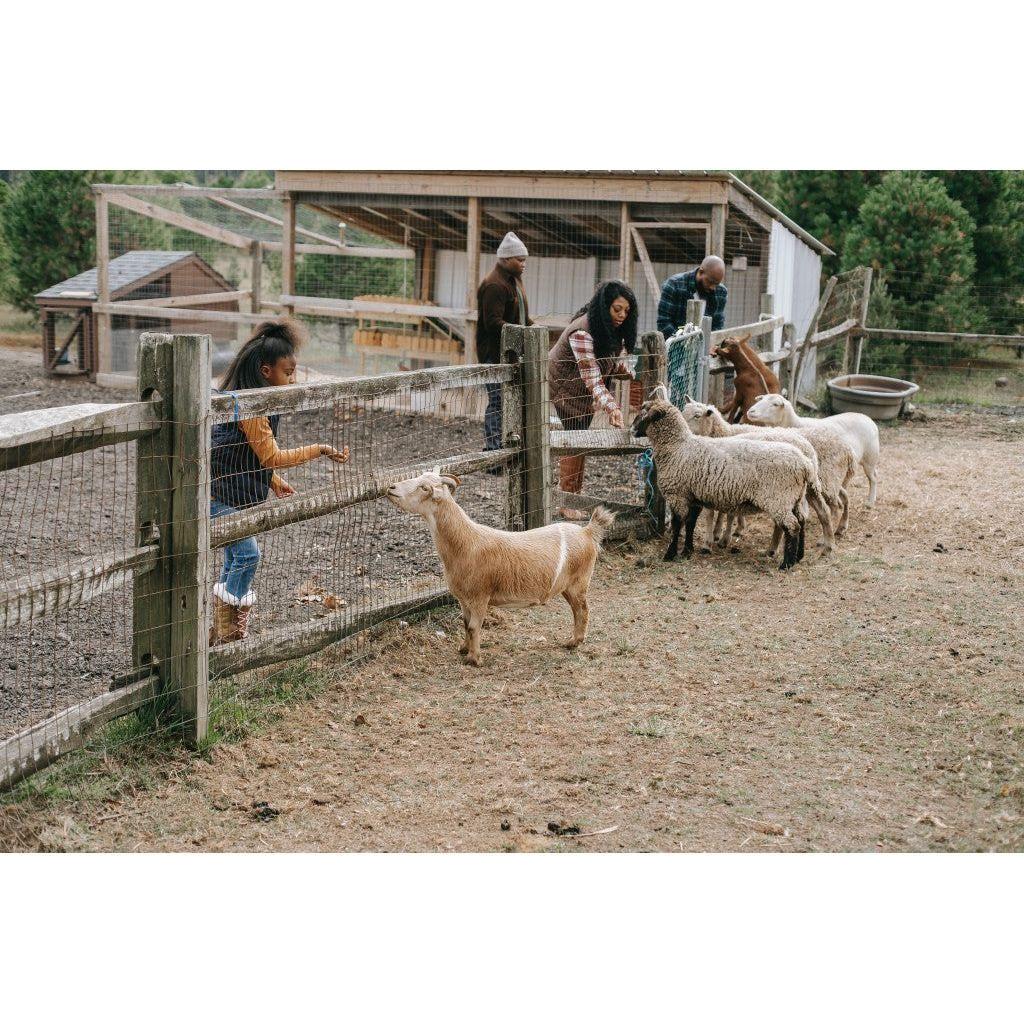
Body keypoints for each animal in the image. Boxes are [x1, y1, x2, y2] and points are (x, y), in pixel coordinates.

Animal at [382, 468, 606, 667]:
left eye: (424, 487)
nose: (391, 487)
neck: (466, 543)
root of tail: (588, 532)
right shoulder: (463, 598)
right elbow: (465, 624)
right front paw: (463, 649)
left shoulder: (480, 596)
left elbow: (474, 627)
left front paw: (474, 659)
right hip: (568, 586)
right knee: (578, 610)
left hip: (579, 582)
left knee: (582, 610)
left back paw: (573, 642)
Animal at [630, 387, 815, 573]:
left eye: (645, 414)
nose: (631, 429)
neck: (678, 446)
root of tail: (805, 464)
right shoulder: (694, 496)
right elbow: (690, 524)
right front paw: (687, 551)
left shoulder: (678, 495)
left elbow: (677, 524)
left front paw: (670, 554)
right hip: (795, 498)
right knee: (801, 521)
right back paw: (798, 556)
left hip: (779, 498)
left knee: (792, 526)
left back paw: (786, 564)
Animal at [684, 397, 860, 552]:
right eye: (684, 411)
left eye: (697, 416)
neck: (725, 433)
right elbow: (727, 511)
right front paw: (727, 531)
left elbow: (721, 513)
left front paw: (720, 537)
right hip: (814, 485)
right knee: (836, 503)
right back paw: (834, 535)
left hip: (822, 482)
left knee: (834, 506)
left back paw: (823, 540)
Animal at [745, 393, 880, 505]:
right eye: (761, 399)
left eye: (775, 404)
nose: (750, 411)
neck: (795, 423)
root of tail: (868, 418)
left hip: (870, 457)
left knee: (873, 478)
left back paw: (870, 502)